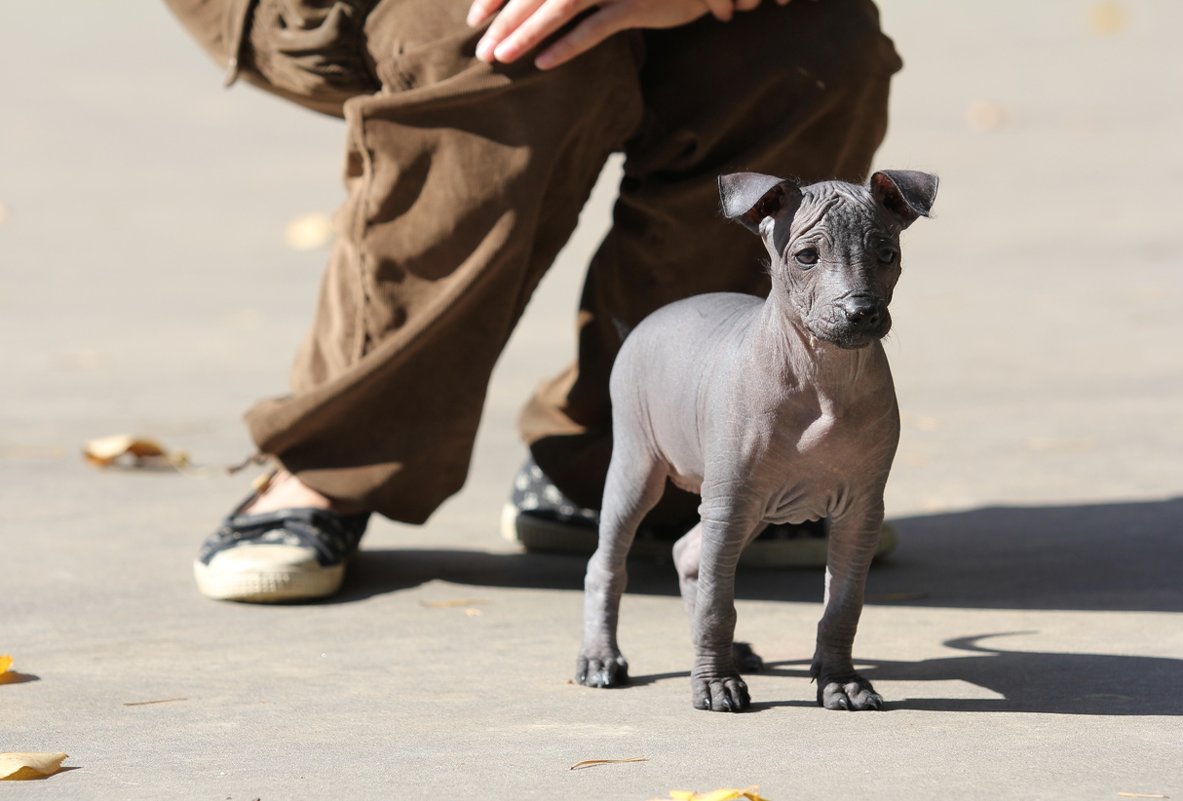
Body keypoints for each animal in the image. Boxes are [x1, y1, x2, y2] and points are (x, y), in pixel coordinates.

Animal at [577, 169, 936, 714]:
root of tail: (646, 322)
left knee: (688, 555)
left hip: (754, 508)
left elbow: (843, 605)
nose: (861, 311)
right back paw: (601, 658)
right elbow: (717, 606)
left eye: (886, 253)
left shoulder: (860, 509)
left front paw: (842, 682)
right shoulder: (728, 502)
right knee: (607, 564)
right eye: (806, 256)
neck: (822, 376)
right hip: (641, 468)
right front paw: (714, 684)